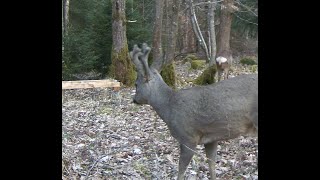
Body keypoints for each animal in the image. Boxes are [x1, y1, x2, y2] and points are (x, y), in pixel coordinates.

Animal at [130, 43, 258, 179]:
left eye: (136, 84)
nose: (134, 99)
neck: (169, 107)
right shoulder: (211, 138)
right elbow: (211, 164)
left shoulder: (188, 137)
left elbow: (181, 170)